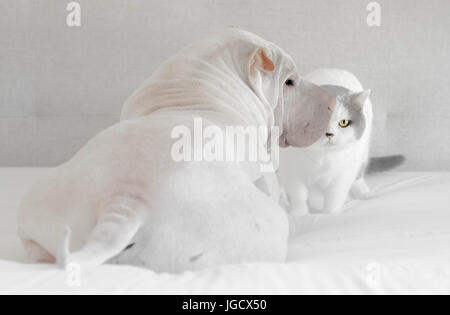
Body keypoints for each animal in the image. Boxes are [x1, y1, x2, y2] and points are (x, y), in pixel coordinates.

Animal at [18, 28, 334, 272]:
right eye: (289, 81)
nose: (333, 102)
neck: (192, 92)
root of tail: (125, 201)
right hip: (259, 227)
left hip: (40, 198)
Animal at [278, 68, 404, 217]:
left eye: (343, 122)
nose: (329, 134)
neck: (323, 158)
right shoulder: (292, 171)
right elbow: (298, 195)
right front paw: (299, 214)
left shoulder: (343, 174)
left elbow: (335, 196)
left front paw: (330, 214)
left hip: (362, 153)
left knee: (358, 176)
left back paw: (364, 193)